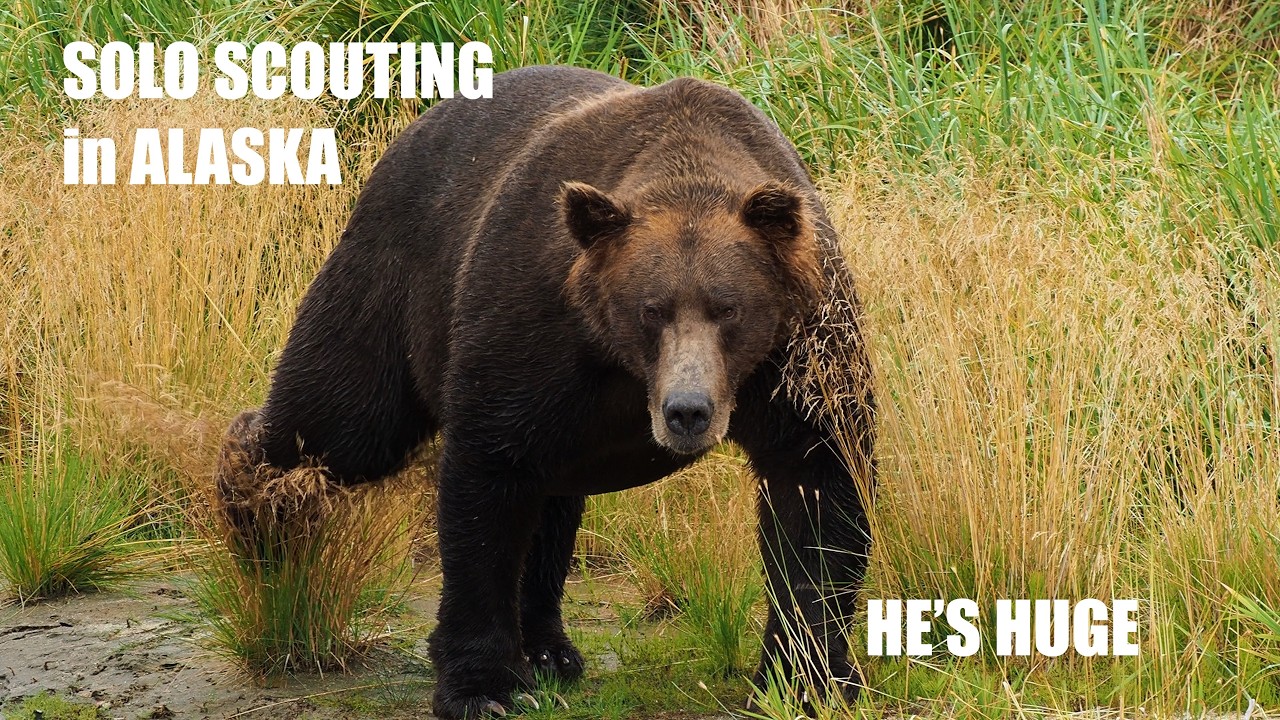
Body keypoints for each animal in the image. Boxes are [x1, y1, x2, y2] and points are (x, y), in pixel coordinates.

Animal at [215, 64, 876, 719]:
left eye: (728, 308)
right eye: (651, 309)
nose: (687, 411)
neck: (620, 362)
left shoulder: (796, 351)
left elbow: (816, 488)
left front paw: (808, 679)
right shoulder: (532, 322)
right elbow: (488, 481)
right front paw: (482, 687)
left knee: (549, 498)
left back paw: (549, 650)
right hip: (395, 280)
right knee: (342, 420)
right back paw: (256, 519)